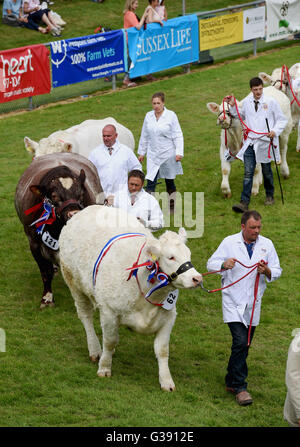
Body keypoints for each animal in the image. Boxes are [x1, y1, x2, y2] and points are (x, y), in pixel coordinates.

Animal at [14, 153, 103, 308]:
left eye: (81, 194)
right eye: (54, 196)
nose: (73, 214)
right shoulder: (34, 243)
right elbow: (45, 272)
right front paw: (47, 298)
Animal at [58, 206, 202, 392]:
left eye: (188, 255)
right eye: (171, 257)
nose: (197, 278)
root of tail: (88, 209)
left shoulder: (168, 317)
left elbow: (162, 350)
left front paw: (166, 381)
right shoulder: (109, 312)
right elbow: (110, 341)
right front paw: (104, 367)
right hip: (74, 283)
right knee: (86, 316)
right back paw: (95, 349)